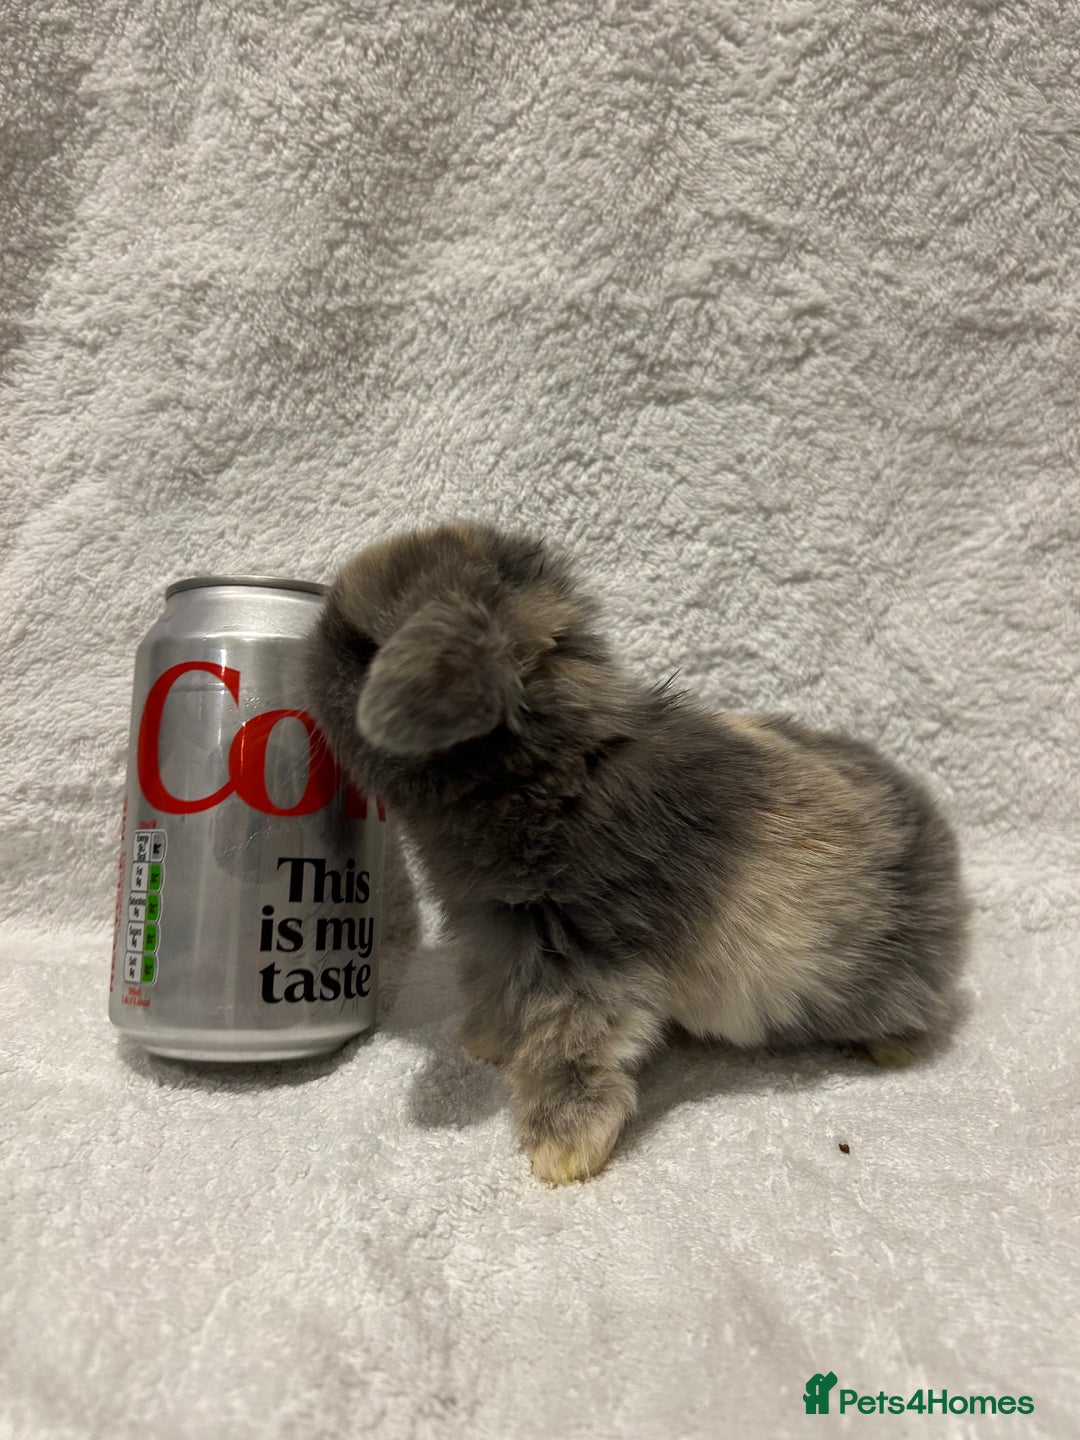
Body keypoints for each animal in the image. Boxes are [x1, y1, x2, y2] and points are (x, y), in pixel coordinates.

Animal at [305, 521, 967, 1184]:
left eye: (364, 649)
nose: (309, 654)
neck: (547, 772)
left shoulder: (587, 963)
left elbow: (569, 1051)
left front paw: (561, 1152)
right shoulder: (499, 936)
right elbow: (498, 994)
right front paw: (485, 1043)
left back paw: (890, 1049)